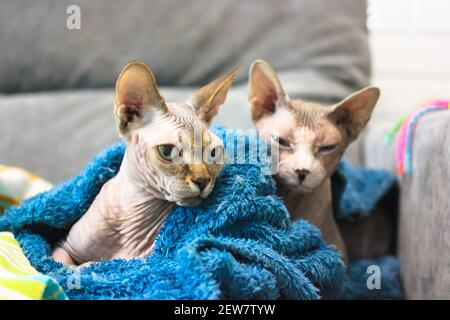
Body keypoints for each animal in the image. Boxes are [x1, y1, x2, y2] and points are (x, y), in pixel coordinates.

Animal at [51, 61, 241, 266]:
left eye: (213, 153)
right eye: (167, 151)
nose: (202, 181)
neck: (129, 215)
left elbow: (86, 266)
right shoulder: (62, 247)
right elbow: (67, 265)